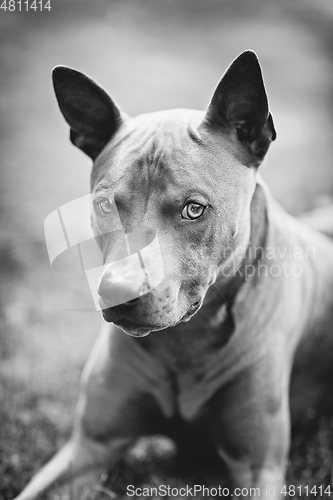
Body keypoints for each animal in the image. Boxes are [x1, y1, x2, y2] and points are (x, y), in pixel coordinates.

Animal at [15, 51, 333, 500]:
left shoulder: (257, 467)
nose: (118, 289)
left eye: (194, 209)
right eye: (104, 206)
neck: (186, 342)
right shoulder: (88, 447)